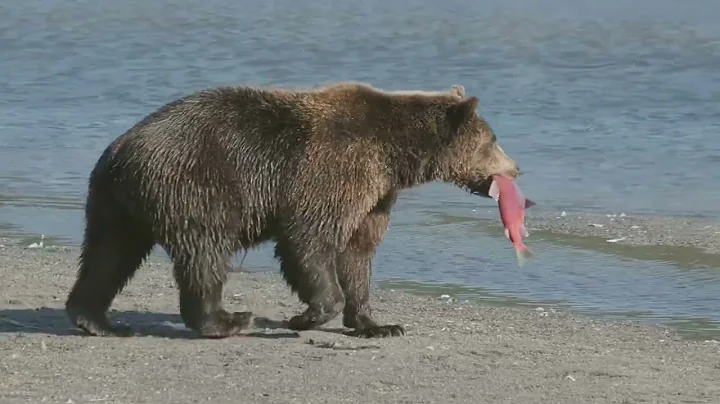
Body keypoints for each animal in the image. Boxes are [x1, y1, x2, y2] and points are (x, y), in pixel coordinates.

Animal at [64, 81, 521, 339]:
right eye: (494, 139)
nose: (516, 167)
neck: (394, 155)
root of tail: (122, 151)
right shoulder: (333, 169)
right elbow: (309, 240)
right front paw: (308, 316)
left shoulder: (374, 196)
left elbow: (357, 254)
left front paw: (379, 324)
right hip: (199, 185)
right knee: (205, 253)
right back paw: (226, 320)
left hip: (116, 203)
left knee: (108, 255)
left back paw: (95, 319)